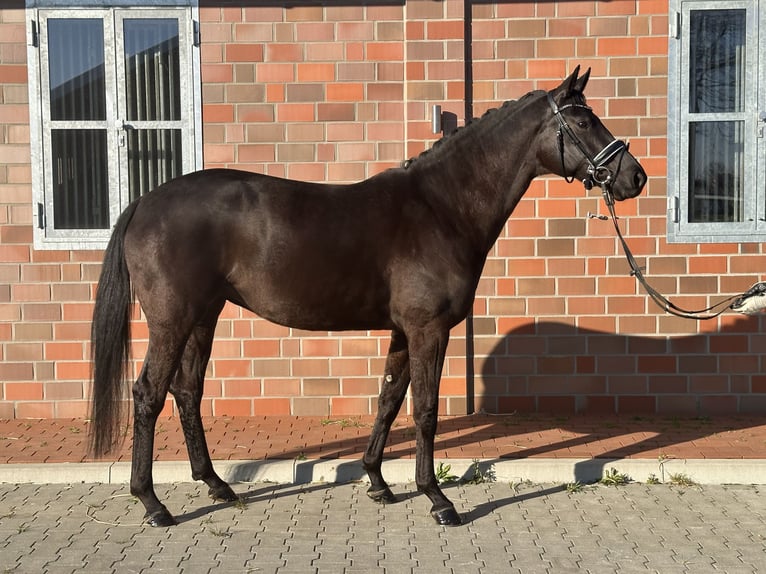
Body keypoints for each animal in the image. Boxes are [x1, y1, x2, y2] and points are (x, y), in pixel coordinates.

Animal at [90, 66, 648, 528]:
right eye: (584, 121)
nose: (635, 177)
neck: (441, 207)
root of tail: (143, 201)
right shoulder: (428, 330)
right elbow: (425, 410)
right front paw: (438, 500)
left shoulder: (404, 329)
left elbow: (388, 399)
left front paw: (378, 482)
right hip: (173, 319)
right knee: (149, 394)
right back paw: (153, 504)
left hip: (204, 316)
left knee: (187, 392)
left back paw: (218, 486)